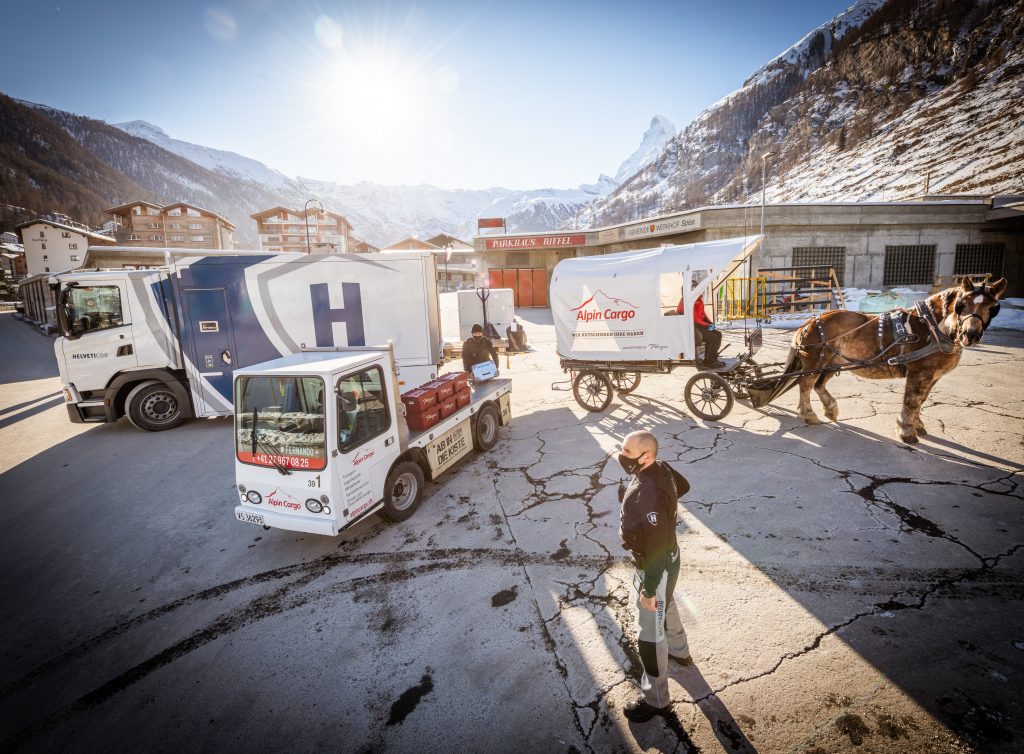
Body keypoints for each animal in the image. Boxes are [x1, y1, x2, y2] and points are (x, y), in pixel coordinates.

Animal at [790, 276, 1007, 442]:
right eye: (963, 304)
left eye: (992, 307)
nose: (970, 335)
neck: (932, 327)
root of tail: (809, 322)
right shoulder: (920, 372)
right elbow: (912, 400)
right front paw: (907, 431)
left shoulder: (933, 375)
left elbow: (922, 399)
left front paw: (917, 425)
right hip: (816, 361)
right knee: (806, 384)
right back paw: (809, 415)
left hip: (833, 363)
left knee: (818, 385)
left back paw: (830, 410)